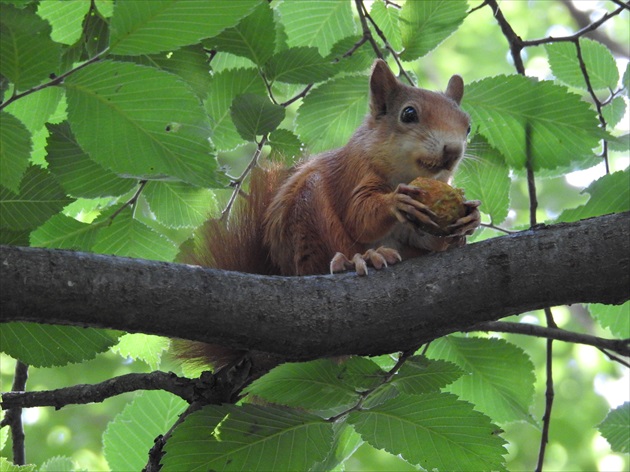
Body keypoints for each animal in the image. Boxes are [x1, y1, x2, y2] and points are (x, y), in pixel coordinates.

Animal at [180, 60, 482, 372]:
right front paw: (396, 202)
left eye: (468, 126)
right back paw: (360, 259)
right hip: (310, 215)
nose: (453, 151)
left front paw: (470, 219)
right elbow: (360, 217)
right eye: (409, 114)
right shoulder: (354, 173)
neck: (406, 175)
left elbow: (427, 238)